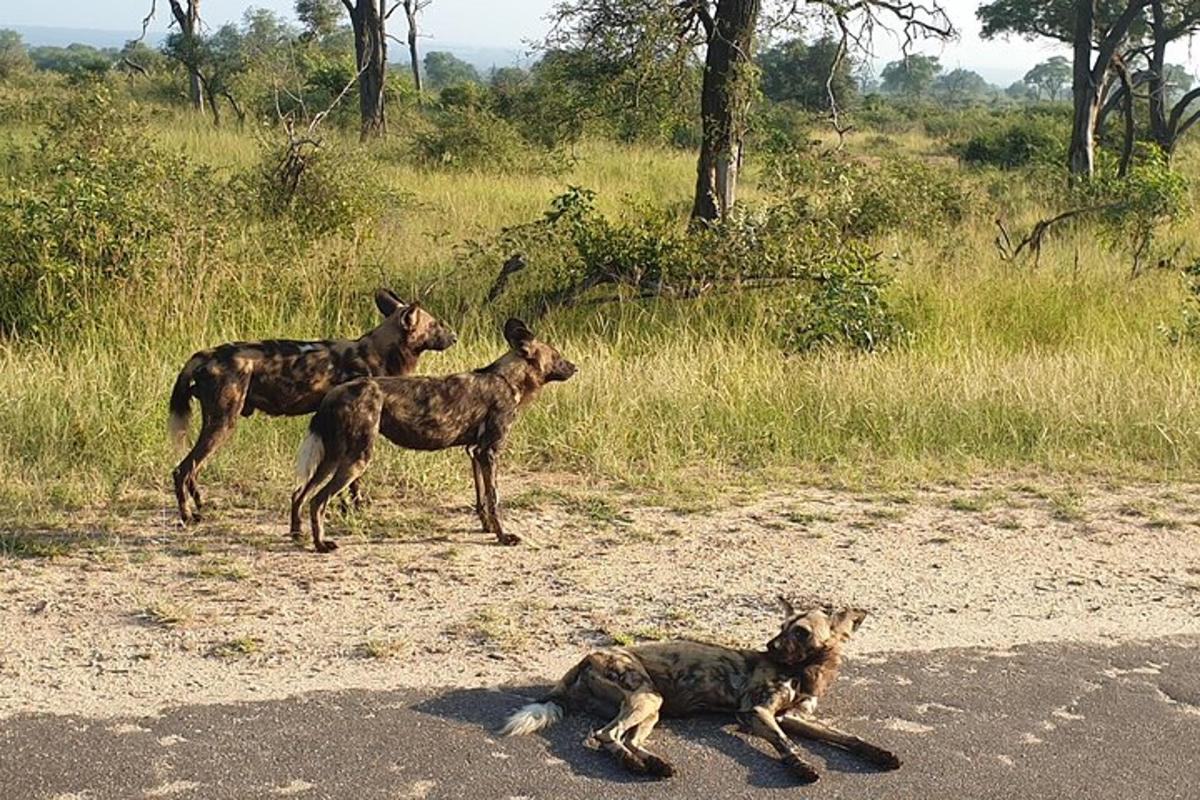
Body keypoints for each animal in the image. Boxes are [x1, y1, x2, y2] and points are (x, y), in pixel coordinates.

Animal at [164, 291, 453, 527]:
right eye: (435, 324)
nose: (454, 336)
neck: (379, 352)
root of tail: (207, 353)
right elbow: (353, 481)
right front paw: (354, 506)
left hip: (216, 425)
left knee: (192, 470)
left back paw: (199, 507)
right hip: (223, 423)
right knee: (182, 470)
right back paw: (187, 516)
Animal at [288, 316, 573, 554]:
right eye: (557, 356)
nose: (574, 366)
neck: (507, 379)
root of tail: (335, 392)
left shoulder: (475, 453)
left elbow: (481, 498)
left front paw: (487, 528)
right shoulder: (489, 452)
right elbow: (494, 498)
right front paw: (502, 537)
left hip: (334, 458)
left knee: (300, 493)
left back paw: (297, 534)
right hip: (357, 460)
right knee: (317, 500)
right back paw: (321, 544)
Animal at [499, 599, 902, 782]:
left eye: (800, 632)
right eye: (782, 627)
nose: (770, 645)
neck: (805, 670)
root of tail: (585, 658)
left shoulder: (792, 717)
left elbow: (847, 738)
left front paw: (880, 754)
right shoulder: (757, 713)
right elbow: (786, 743)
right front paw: (801, 767)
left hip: (652, 707)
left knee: (628, 738)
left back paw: (656, 764)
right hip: (645, 697)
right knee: (604, 735)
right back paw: (633, 766)